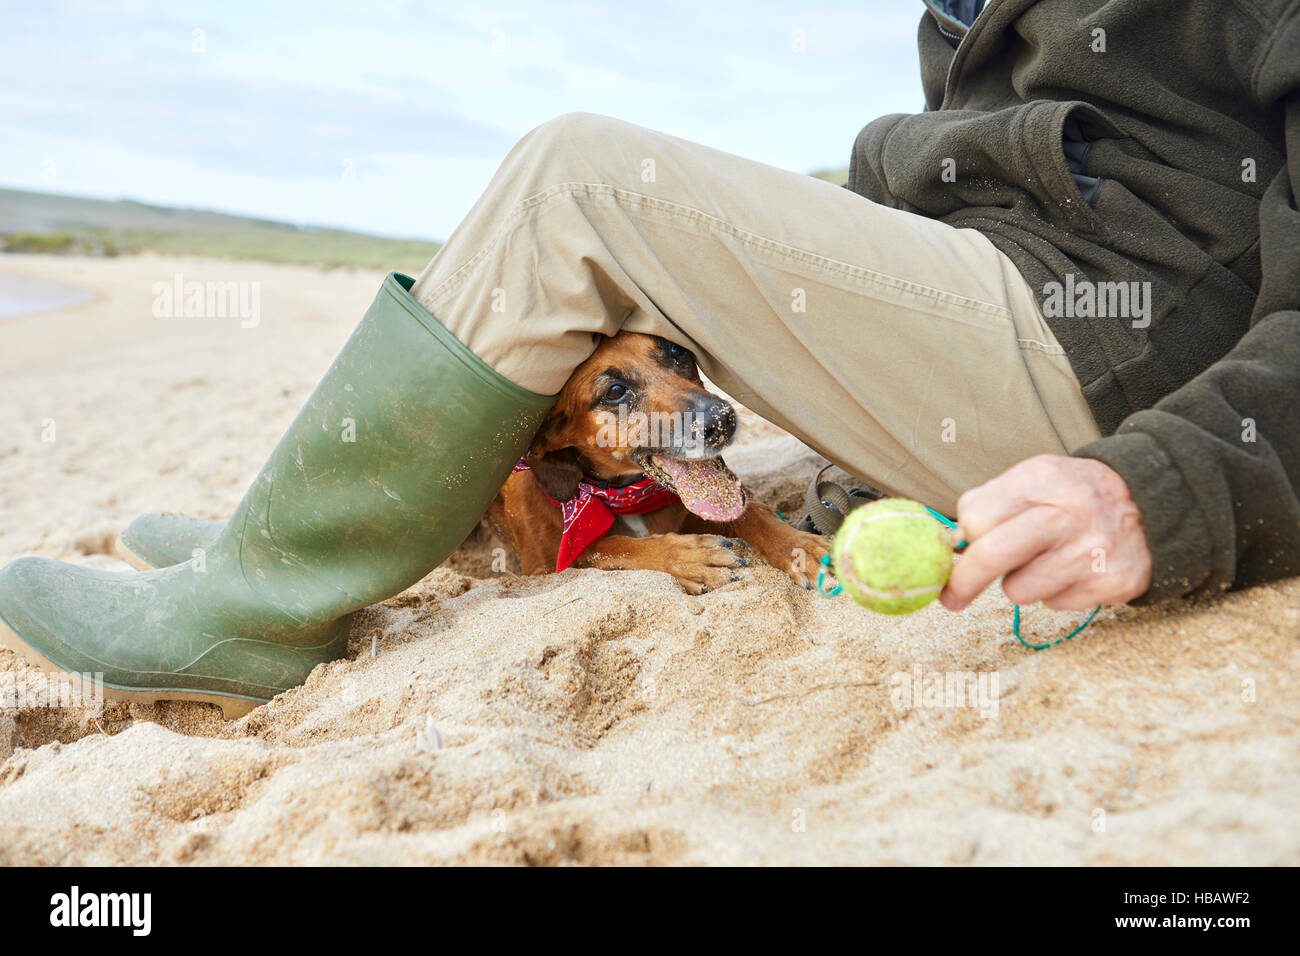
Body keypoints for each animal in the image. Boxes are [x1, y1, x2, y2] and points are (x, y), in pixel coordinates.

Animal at [483, 332, 826, 595]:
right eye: (615, 391)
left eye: (677, 351)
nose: (720, 420)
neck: (624, 494)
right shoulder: (542, 568)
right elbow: (603, 548)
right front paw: (689, 558)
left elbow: (752, 510)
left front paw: (798, 547)